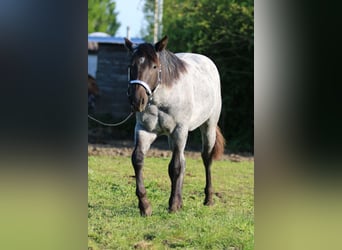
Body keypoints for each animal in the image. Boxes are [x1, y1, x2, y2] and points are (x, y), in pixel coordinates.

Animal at [124, 35, 226, 217]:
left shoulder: (179, 131)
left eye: (154, 66)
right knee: (184, 161)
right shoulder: (144, 130)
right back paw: (181, 201)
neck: (161, 100)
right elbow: (138, 160)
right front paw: (145, 206)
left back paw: (208, 199)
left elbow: (175, 167)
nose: (137, 101)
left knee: (206, 158)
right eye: (131, 66)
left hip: (208, 127)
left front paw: (172, 205)